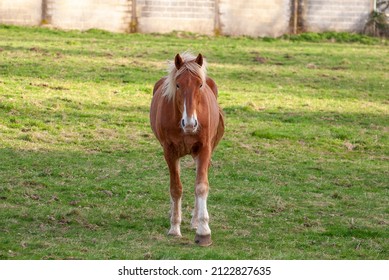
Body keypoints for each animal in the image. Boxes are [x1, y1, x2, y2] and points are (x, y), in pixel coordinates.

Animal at [151, 52, 226, 245]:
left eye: (200, 84)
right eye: (178, 84)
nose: (190, 123)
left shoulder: (204, 149)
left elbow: (201, 186)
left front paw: (203, 231)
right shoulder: (169, 152)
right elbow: (176, 188)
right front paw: (174, 228)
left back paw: (195, 220)